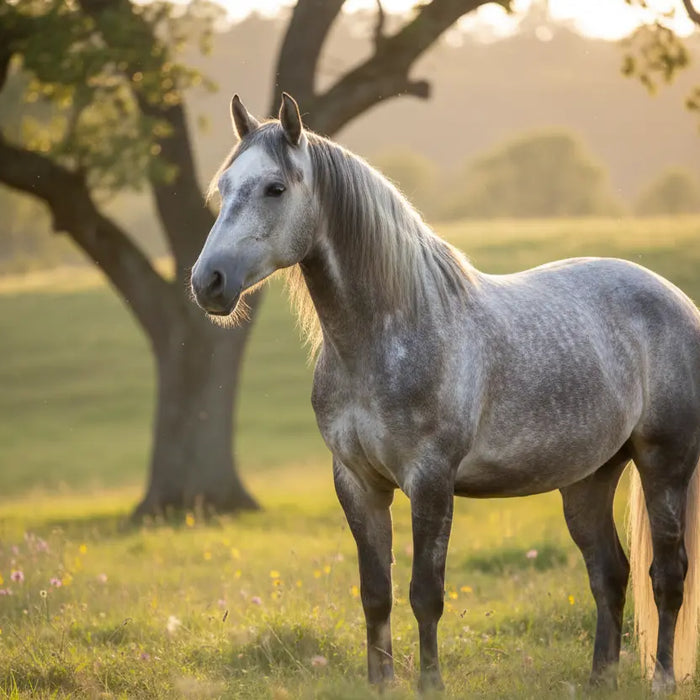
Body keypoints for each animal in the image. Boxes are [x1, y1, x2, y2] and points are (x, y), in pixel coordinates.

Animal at [191, 93, 700, 693]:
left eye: (275, 188)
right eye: (224, 186)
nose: (208, 282)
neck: (388, 334)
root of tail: (677, 301)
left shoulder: (430, 481)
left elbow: (424, 595)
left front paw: (430, 684)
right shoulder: (357, 483)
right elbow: (376, 595)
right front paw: (380, 684)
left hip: (664, 463)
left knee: (666, 575)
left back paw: (663, 679)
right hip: (589, 478)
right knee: (609, 573)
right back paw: (600, 680)